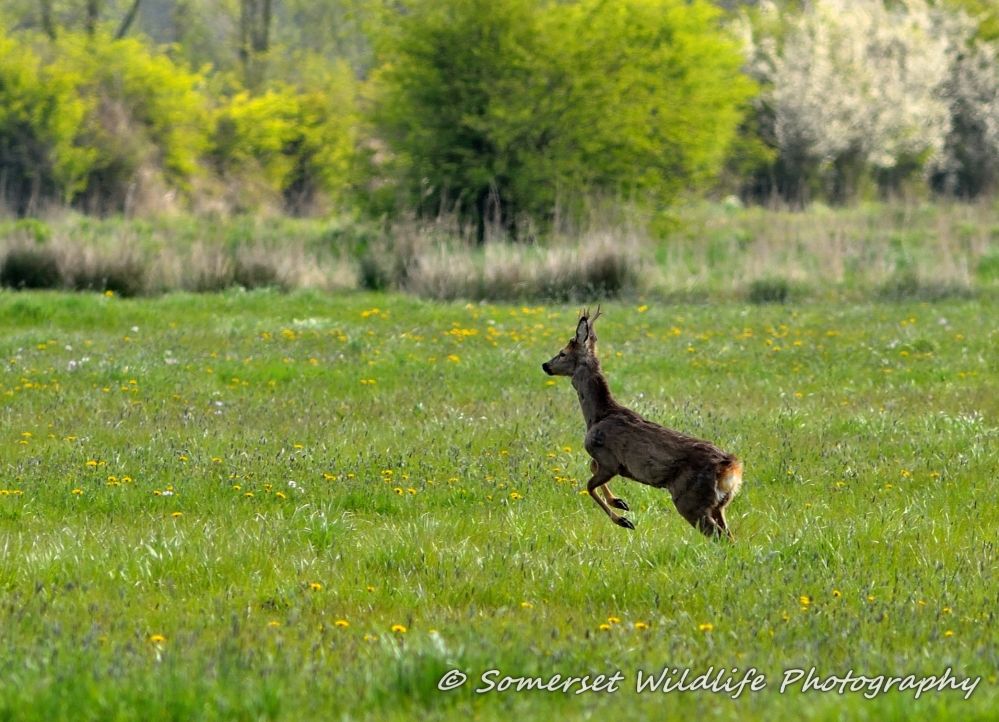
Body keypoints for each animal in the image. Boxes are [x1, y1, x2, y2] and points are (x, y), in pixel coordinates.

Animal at [544, 306, 748, 536]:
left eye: (562, 353)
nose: (545, 365)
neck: (598, 416)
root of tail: (731, 468)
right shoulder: (607, 462)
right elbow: (590, 468)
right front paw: (619, 501)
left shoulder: (608, 460)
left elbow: (589, 484)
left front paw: (623, 519)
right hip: (719, 504)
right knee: (728, 534)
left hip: (691, 500)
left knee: (719, 536)